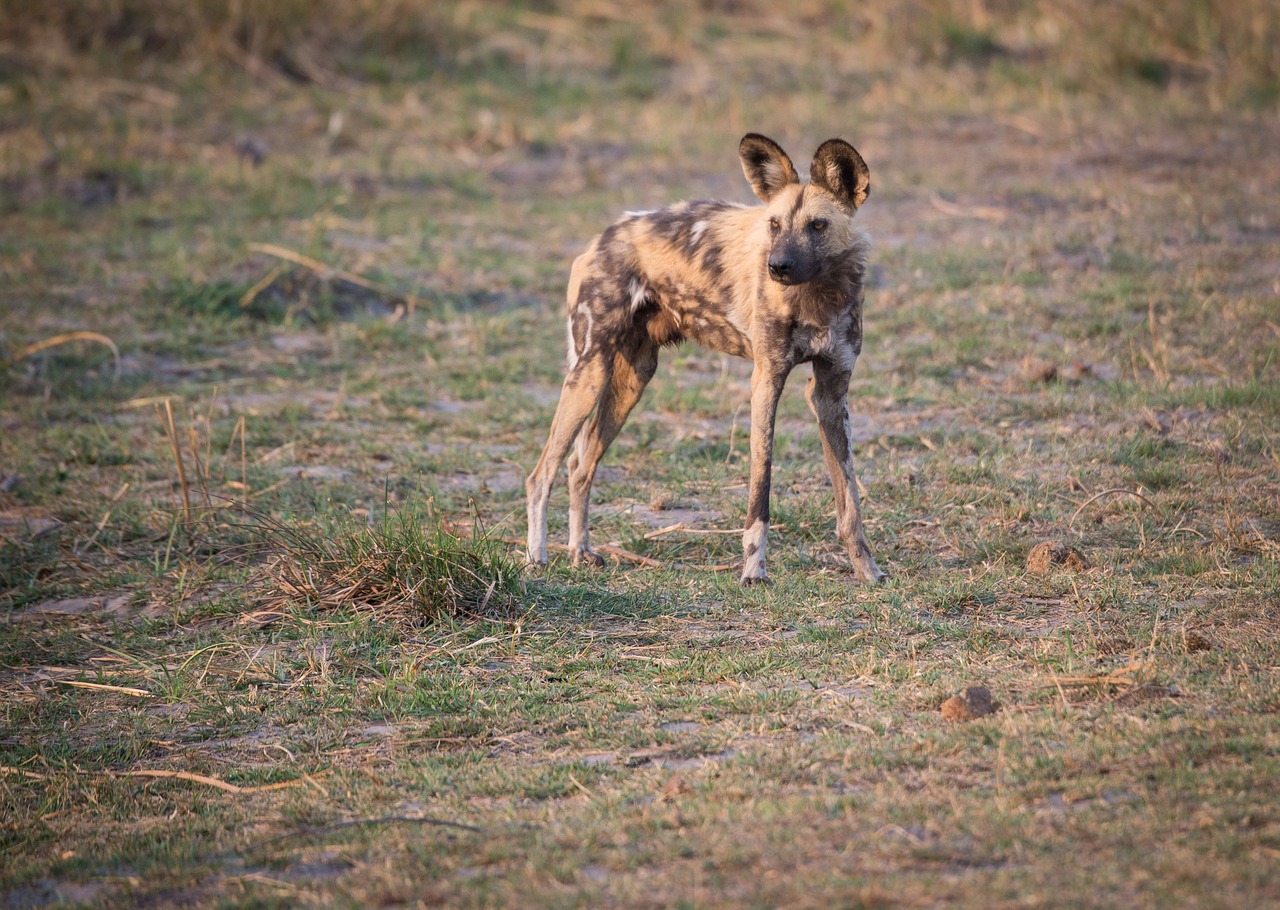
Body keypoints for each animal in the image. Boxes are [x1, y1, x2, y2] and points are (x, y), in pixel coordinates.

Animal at [524, 132, 885, 586]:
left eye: (817, 226)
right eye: (774, 225)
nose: (777, 266)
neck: (818, 296)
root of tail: (603, 237)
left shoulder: (831, 392)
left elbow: (850, 500)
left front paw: (867, 569)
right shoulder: (766, 382)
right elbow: (760, 490)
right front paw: (753, 572)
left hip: (631, 380)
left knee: (579, 466)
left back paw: (580, 551)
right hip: (589, 373)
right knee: (541, 474)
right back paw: (536, 558)